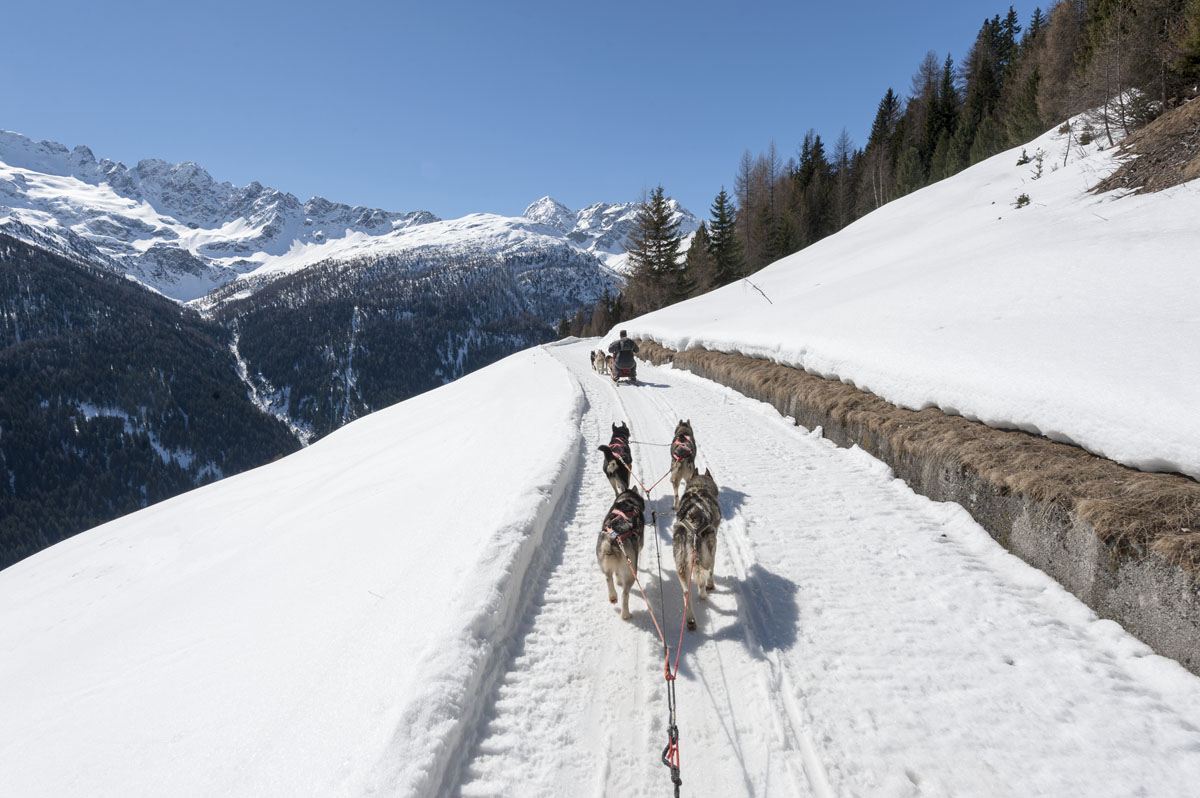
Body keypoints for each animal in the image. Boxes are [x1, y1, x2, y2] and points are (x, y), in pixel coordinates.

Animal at [592, 484, 643, 624]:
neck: (627, 500)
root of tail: (613, 539)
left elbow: (616, 574)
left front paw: (618, 580)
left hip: (602, 561)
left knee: (608, 577)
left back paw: (612, 596)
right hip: (631, 573)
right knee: (625, 594)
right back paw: (625, 614)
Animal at [672, 468, 715, 628]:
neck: (699, 488)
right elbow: (711, 572)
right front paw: (711, 585)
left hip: (681, 565)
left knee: (686, 593)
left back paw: (690, 620)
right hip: (705, 557)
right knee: (704, 577)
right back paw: (703, 594)